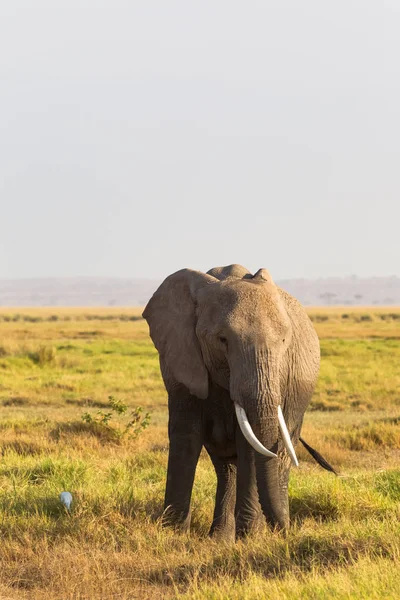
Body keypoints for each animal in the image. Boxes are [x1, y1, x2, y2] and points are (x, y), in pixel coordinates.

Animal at [142, 262, 330, 540]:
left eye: (284, 341)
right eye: (222, 340)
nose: (286, 532)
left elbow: (249, 444)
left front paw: (250, 538)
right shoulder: (179, 355)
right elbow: (185, 435)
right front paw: (172, 534)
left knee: (281, 456)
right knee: (226, 468)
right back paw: (221, 538)